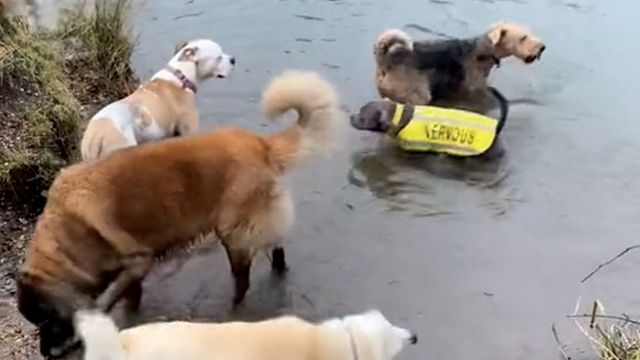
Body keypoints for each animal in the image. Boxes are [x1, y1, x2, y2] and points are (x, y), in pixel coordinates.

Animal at [16, 69, 344, 358]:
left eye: (45, 320)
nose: (45, 354)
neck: (67, 236)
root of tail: (260, 143)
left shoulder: (138, 261)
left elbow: (108, 298)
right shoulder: (132, 271)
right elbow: (129, 296)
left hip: (233, 232)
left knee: (243, 280)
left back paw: (232, 309)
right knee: (277, 249)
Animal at [376, 20, 544, 109]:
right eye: (523, 38)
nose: (542, 47)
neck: (484, 51)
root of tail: (385, 60)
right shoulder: (473, 89)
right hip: (417, 96)